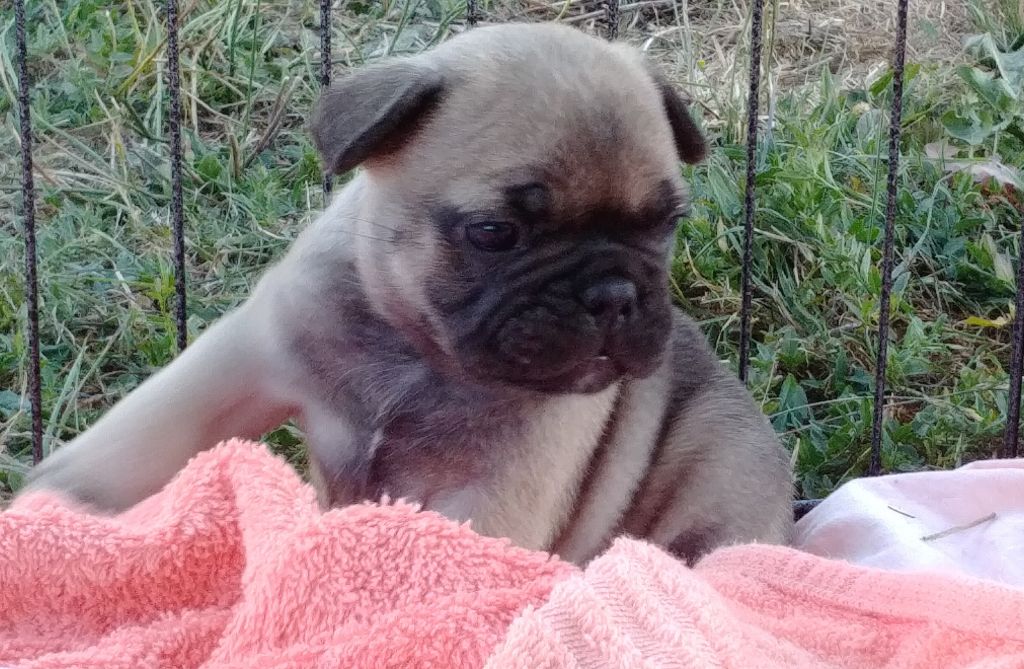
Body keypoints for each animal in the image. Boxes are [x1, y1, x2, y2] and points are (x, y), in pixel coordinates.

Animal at [23, 22, 793, 565]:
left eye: (664, 224)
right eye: (495, 232)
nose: (612, 292)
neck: (418, 350)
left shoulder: (498, 486)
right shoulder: (251, 353)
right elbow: (147, 431)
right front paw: (54, 506)